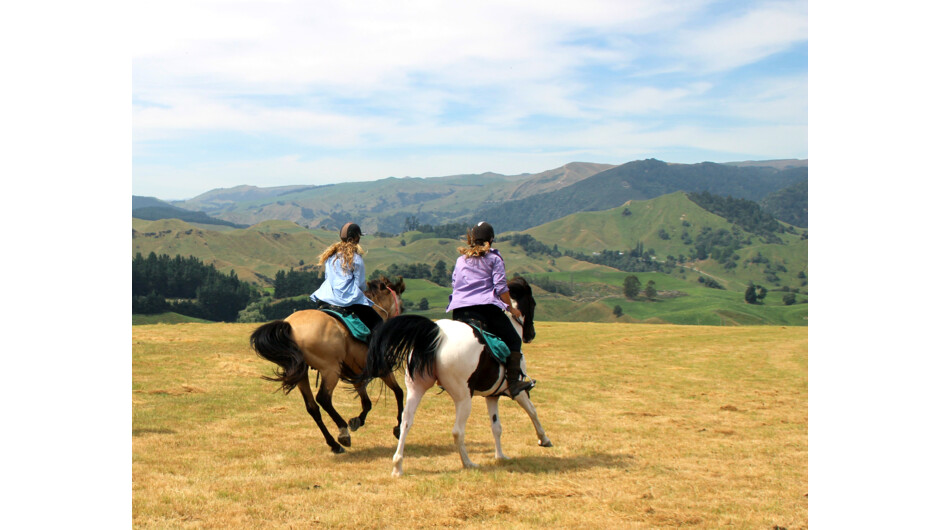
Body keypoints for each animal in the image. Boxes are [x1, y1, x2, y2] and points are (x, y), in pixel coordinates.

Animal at [250, 274, 408, 452]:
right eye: (402, 307)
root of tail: (290, 326)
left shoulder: (356, 371)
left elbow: (367, 402)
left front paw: (357, 420)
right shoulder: (381, 368)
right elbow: (398, 392)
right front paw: (398, 427)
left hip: (302, 373)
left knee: (312, 407)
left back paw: (334, 443)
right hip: (330, 370)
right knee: (323, 399)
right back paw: (343, 432)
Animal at [358, 276, 552, 474]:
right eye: (533, 303)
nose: (531, 334)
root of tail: (437, 334)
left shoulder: (492, 396)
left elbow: (496, 426)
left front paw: (501, 456)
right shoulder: (518, 391)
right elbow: (532, 411)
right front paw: (543, 439)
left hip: (416, 388)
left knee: (406, 422)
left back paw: (398, 466)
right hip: (463, 397)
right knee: (457, 431)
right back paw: (468, 463)